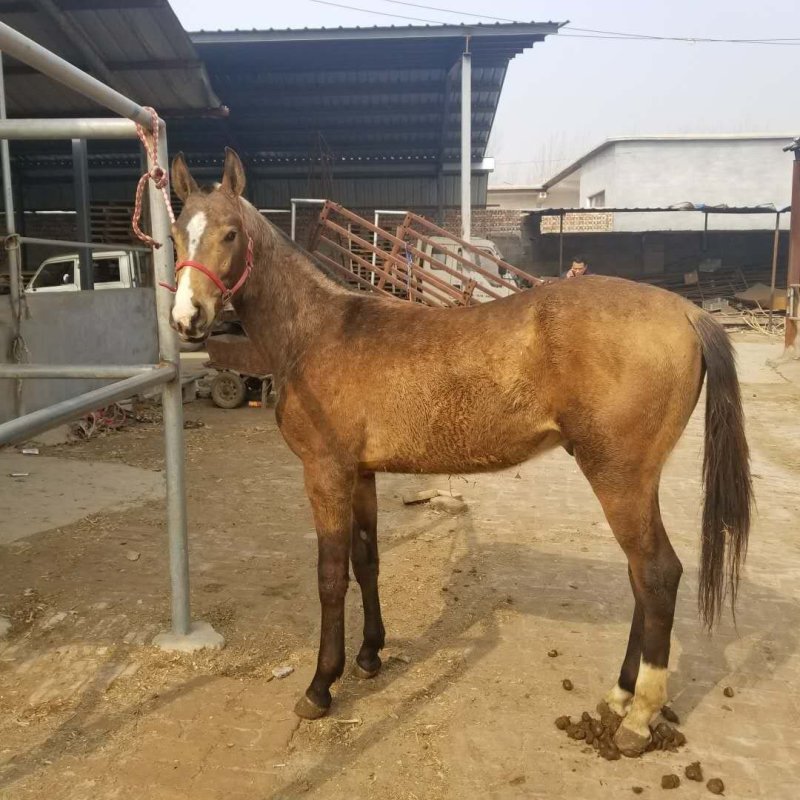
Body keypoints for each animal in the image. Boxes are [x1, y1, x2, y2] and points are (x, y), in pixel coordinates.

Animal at [167, 149, 752, 756]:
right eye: (176, 235)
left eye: (231, 234)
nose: (188, 319)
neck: (316, 331)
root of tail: (686, 312)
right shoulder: (362, 474)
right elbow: (366, 561)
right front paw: (370, 655)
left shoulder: (325, 473)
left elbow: (330, 577)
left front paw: (321, 685)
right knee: (641, 577)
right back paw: (619, 696)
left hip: (619, 477)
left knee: (657, 574)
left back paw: (637, 718)